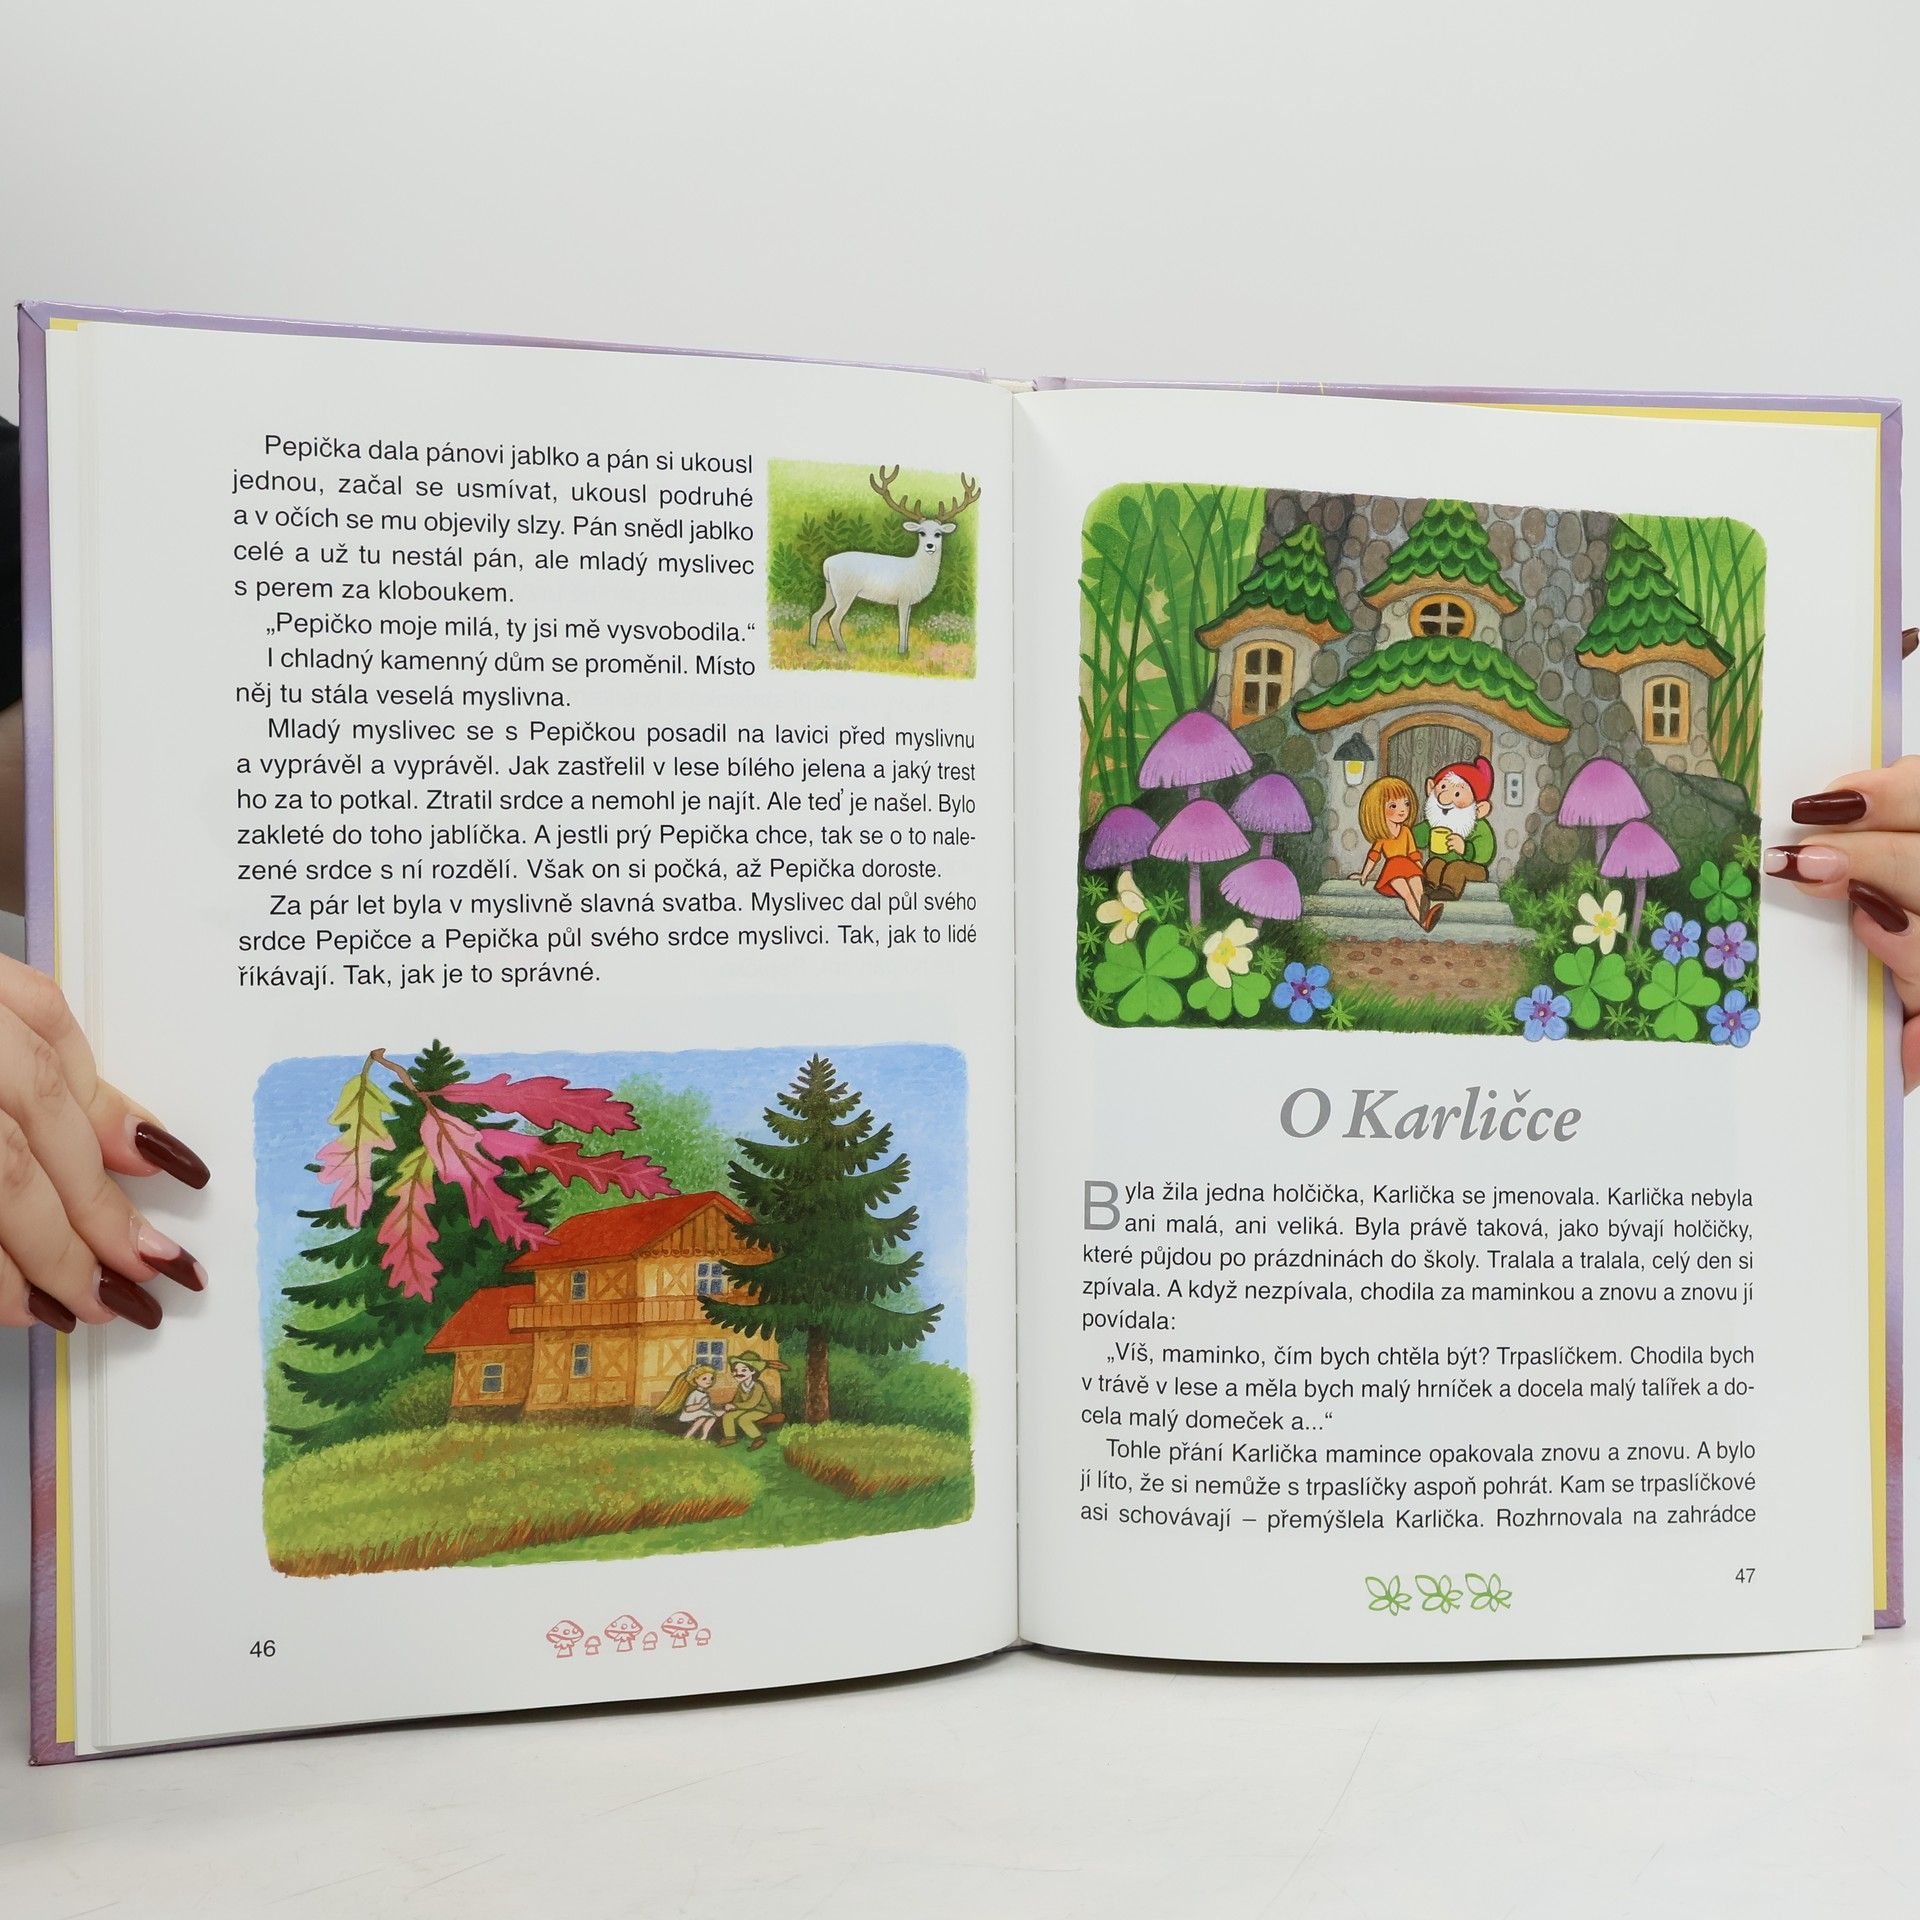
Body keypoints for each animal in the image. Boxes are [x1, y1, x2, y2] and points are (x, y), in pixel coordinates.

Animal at [808, 467, 981, 658]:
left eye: (938, 533)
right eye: (921, 532)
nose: (930, 546)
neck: (918, 572)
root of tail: (826, 563)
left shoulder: (910, 602)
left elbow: (907, 625)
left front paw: (906, 650)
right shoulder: (903, 598)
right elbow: (902, 625)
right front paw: (901, 652)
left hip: (831, 590)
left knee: (816, 615)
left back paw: (813, 645)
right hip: (845, 591)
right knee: (834, 619)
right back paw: (843, 649)